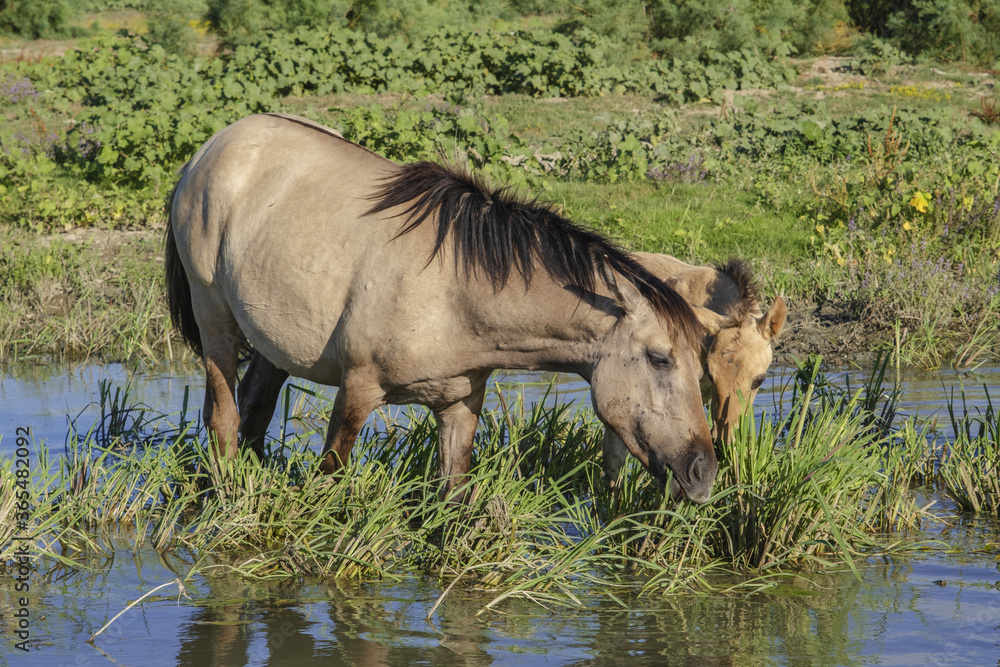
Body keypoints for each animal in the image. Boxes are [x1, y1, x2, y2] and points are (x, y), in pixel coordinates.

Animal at [165, 113, 718, 503]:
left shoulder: (459, 405)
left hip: (272, 343)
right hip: (215, 321)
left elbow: (452, 503)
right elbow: (327, 483)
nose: (704, 473)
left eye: (700, 368)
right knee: (224, 418)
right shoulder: (357, 390)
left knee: (255, 410)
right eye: (660, 359)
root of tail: (210, 149)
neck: (455, 293)